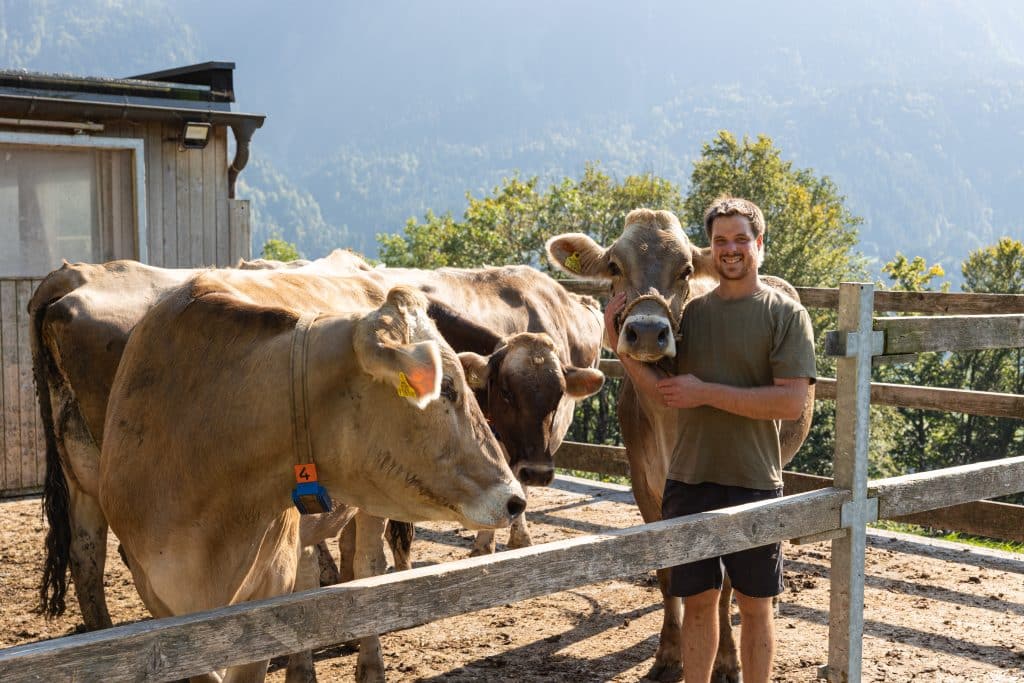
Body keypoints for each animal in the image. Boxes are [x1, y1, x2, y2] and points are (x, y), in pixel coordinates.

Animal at [548, 209, 811, 683]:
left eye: (686, 269)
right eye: (614, 266)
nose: (647, 332)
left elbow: (726, 583)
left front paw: (726, 660)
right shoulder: (644, 485)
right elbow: (668, 571)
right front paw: (669, 654)